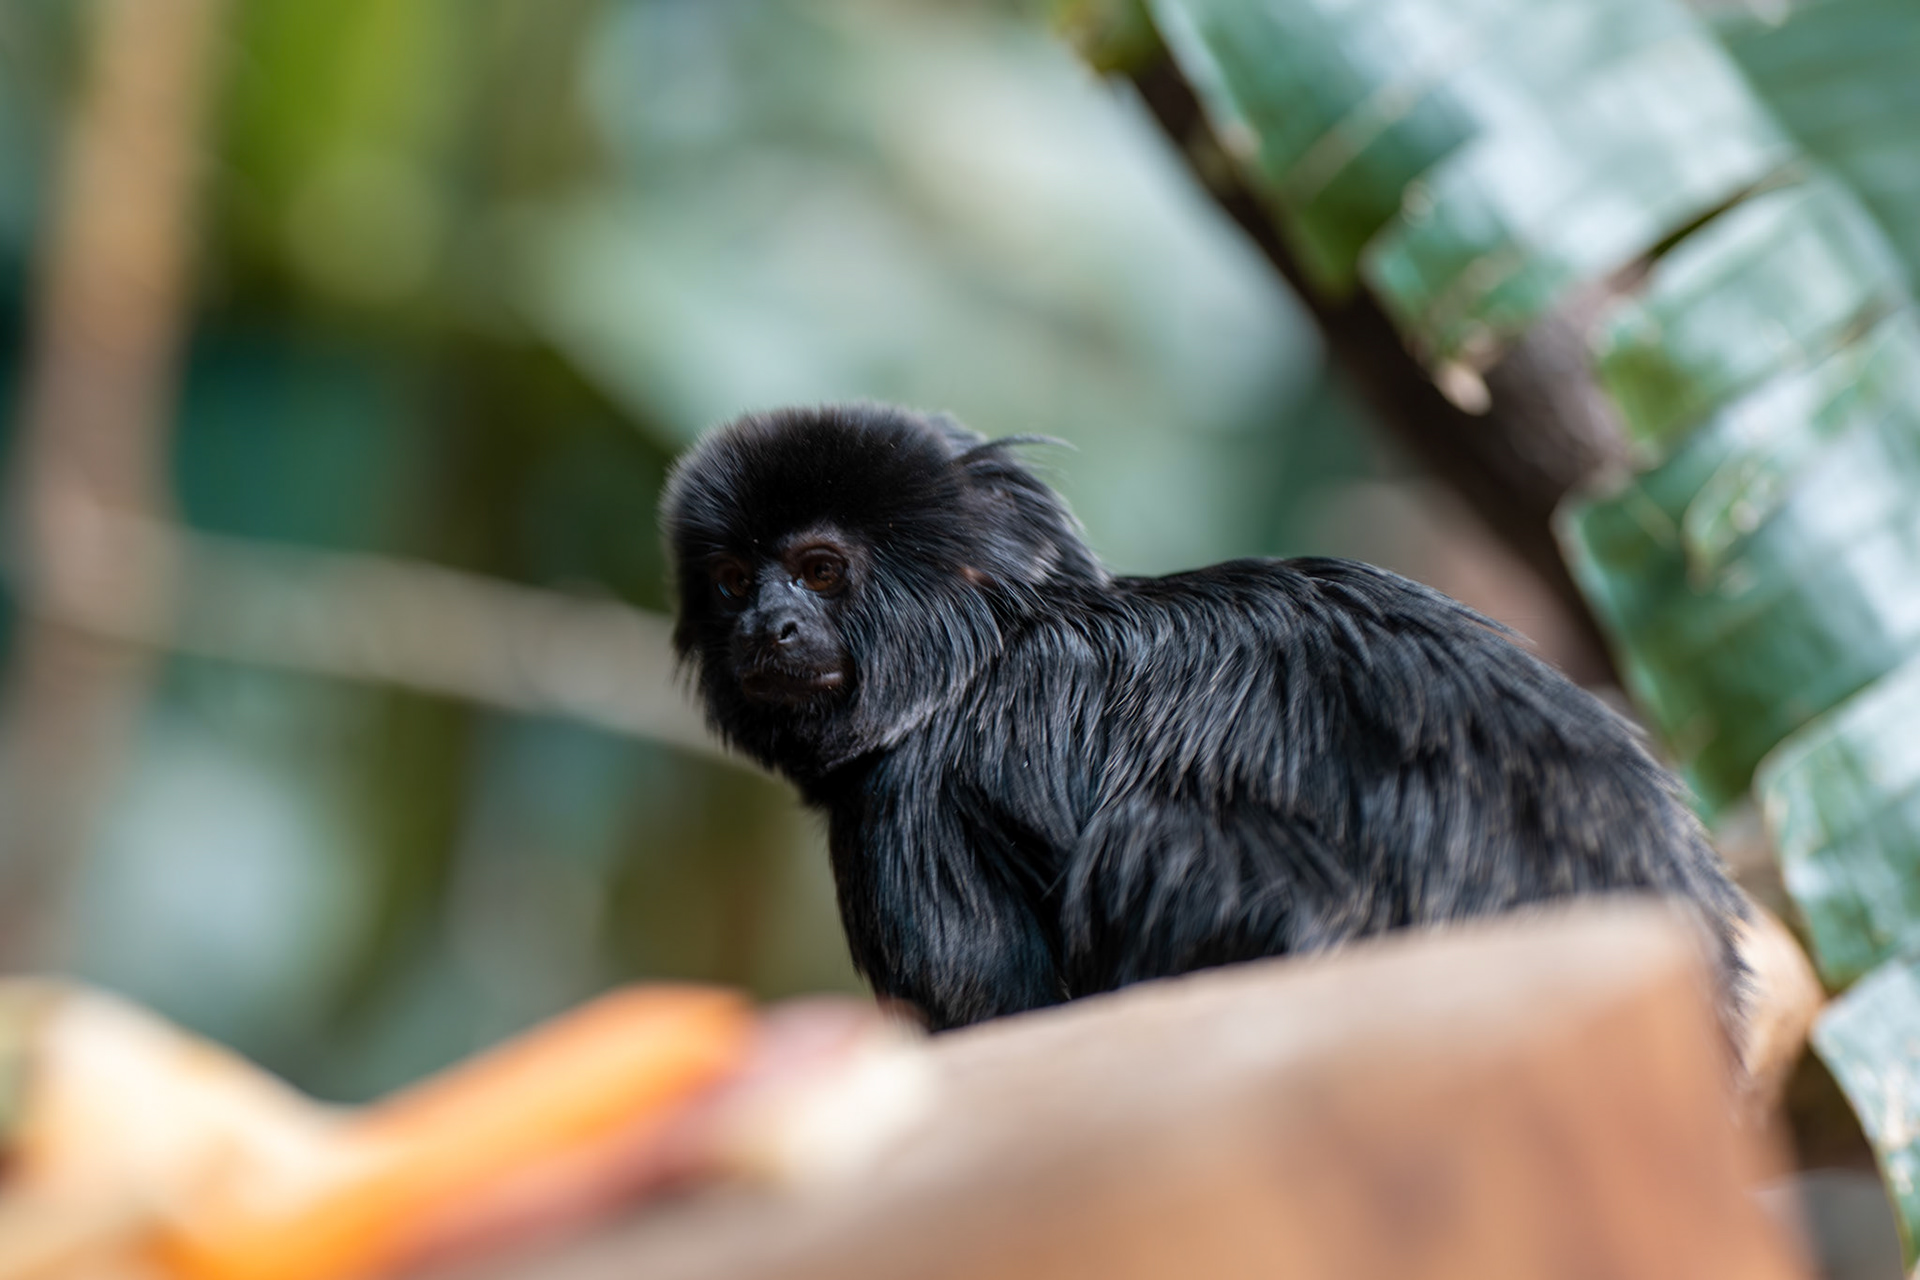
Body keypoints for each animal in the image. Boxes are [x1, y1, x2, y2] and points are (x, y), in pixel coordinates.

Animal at [662, 402, 1746, 1032]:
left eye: (819, 570)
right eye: (731, 583)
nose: (769, 625)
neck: (977, 657)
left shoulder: (908, 806)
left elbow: (999, 1009)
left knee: (1149, 840)